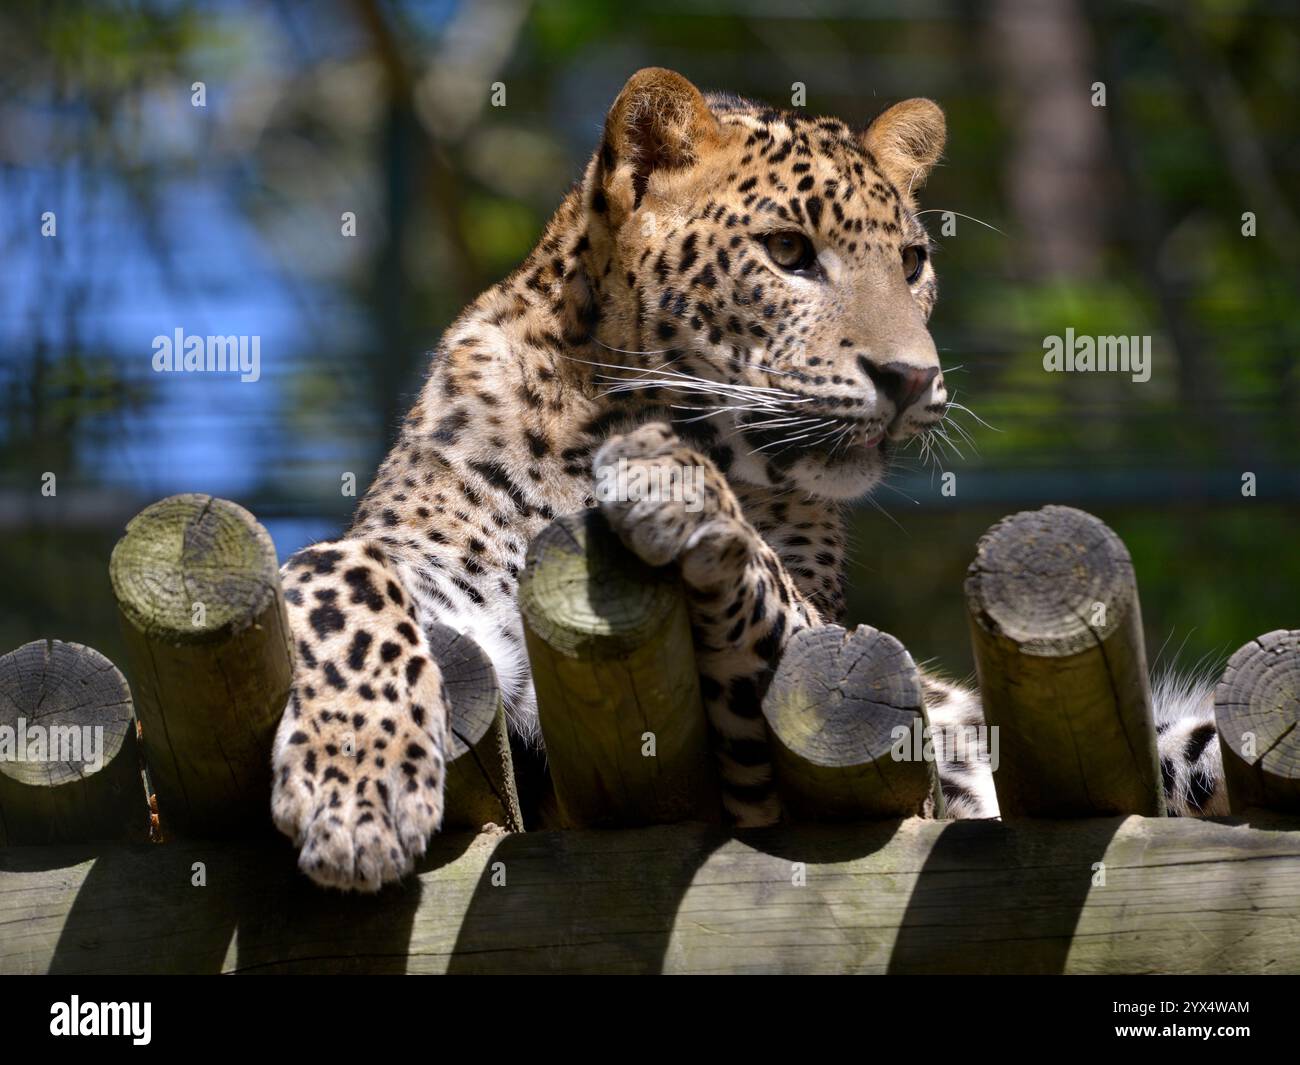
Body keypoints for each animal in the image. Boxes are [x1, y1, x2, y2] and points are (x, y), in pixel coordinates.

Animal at [269, 68, 1222, 889]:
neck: (603, 421)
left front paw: (677, 484)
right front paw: (358, 799)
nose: (912, 377)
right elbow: (335, 566)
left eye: (912, 262)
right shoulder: (446, 601)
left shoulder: (807, 696)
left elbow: (776, 595)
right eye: (788, 250)